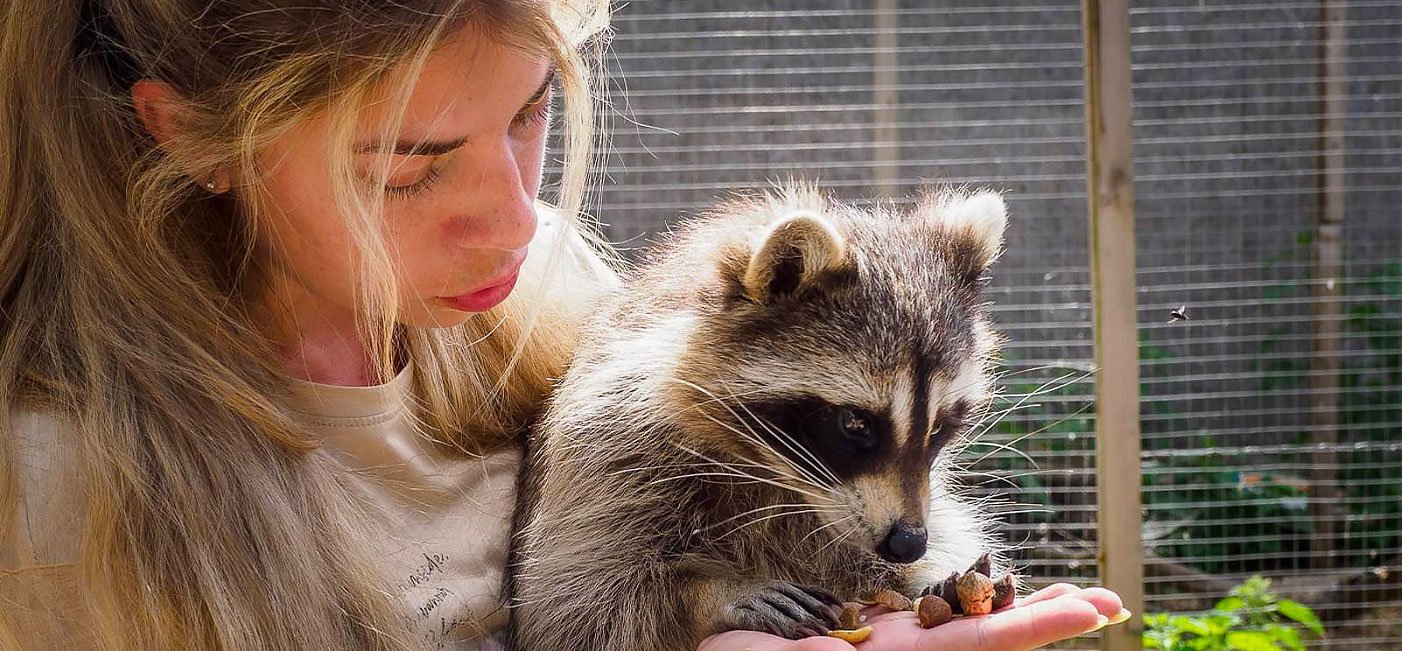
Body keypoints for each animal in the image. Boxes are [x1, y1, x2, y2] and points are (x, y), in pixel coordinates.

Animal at [504, 183, 1009, 651]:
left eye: (941, 425)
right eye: (854, 423)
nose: (908, 543)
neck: (774, 474)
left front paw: (932, 575)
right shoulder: (608, 444)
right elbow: (577, 599)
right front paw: (712, 595)